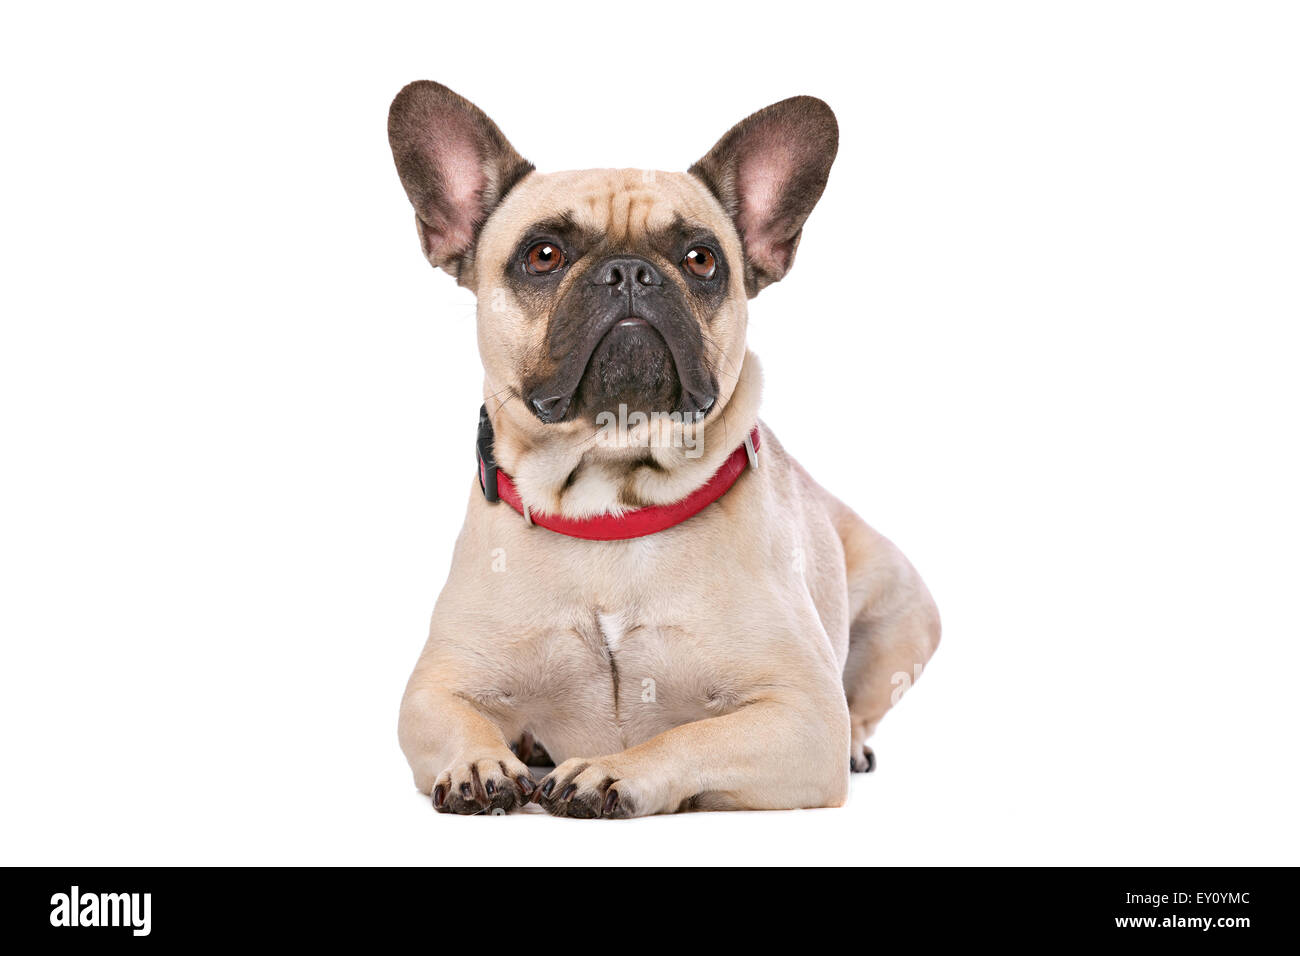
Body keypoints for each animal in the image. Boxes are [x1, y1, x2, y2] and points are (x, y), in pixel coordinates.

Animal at [390, 78, 941, 816]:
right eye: (543, 255)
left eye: (700, 260)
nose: (629, 272)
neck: (611, 499)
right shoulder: (436, 687)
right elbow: (458, 718)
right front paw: (480, 763)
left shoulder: (801, 713)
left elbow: (694, 736)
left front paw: (610, 770)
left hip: (900, 609)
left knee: (864, 704)